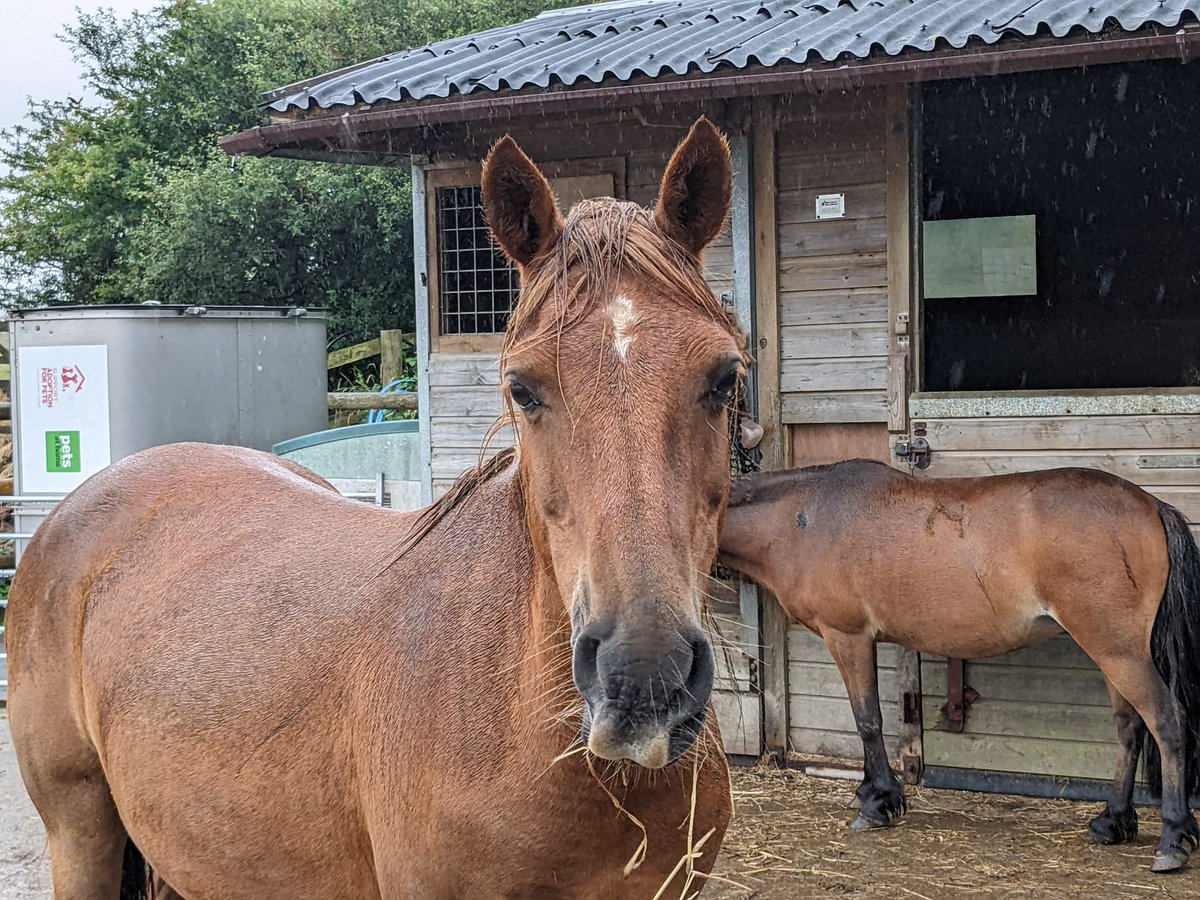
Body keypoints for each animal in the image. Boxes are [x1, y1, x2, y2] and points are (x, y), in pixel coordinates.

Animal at [718, 459, 1200, 873]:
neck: (805, 516)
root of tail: (1152, 505)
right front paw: (871, 793)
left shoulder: (848, 636)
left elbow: (868, 721)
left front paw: (878, 803)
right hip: (1114, 653)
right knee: (1129, 728)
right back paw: (1112, 822)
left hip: (1117, 650)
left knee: (1166, 722)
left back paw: (1172, 841)